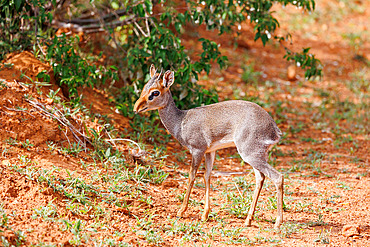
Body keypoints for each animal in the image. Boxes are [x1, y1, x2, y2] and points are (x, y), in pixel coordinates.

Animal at [134, 64, 284, 228]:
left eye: (155, 92)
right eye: (144, 87)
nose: (136, 107)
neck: (181, 122)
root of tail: (274, 128)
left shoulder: (197, 150)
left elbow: (192, 176)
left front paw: (181, 211)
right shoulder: (210, 152)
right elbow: (207, 176)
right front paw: (205, 214)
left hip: (250, 154)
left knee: (277, 177)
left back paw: (277, 222)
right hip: (256, 156)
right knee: (260, 178)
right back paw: (248, 220)